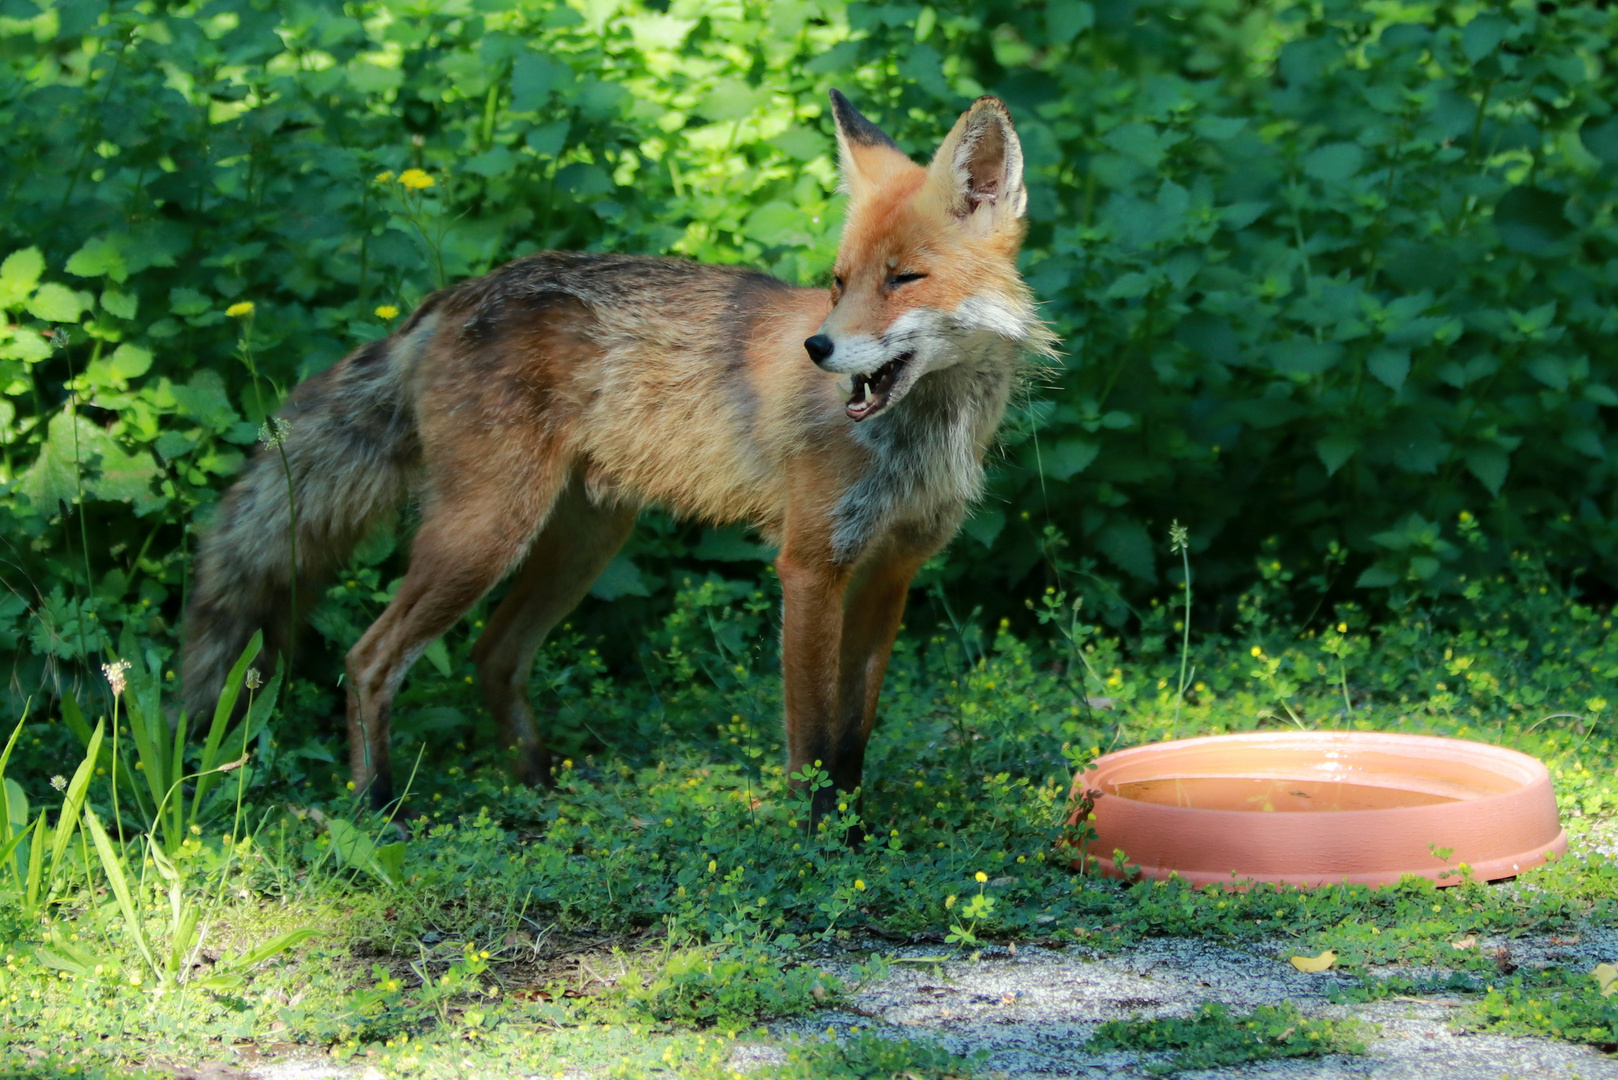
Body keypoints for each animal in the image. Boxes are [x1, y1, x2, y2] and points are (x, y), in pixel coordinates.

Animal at [183, 93, 1054, 819]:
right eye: (839, 283)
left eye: (904, 278)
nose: (818, 348)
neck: (919, 436)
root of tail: (450, 299)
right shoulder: (811, 565)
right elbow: (810, 741)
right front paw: (818, 844)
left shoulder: (890, 571)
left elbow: (852, 737)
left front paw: (857, 833)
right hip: (487, 534)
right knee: (369, 659)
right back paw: (376, 807)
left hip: (582, 541)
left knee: (494, 656)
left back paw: (542, 794)